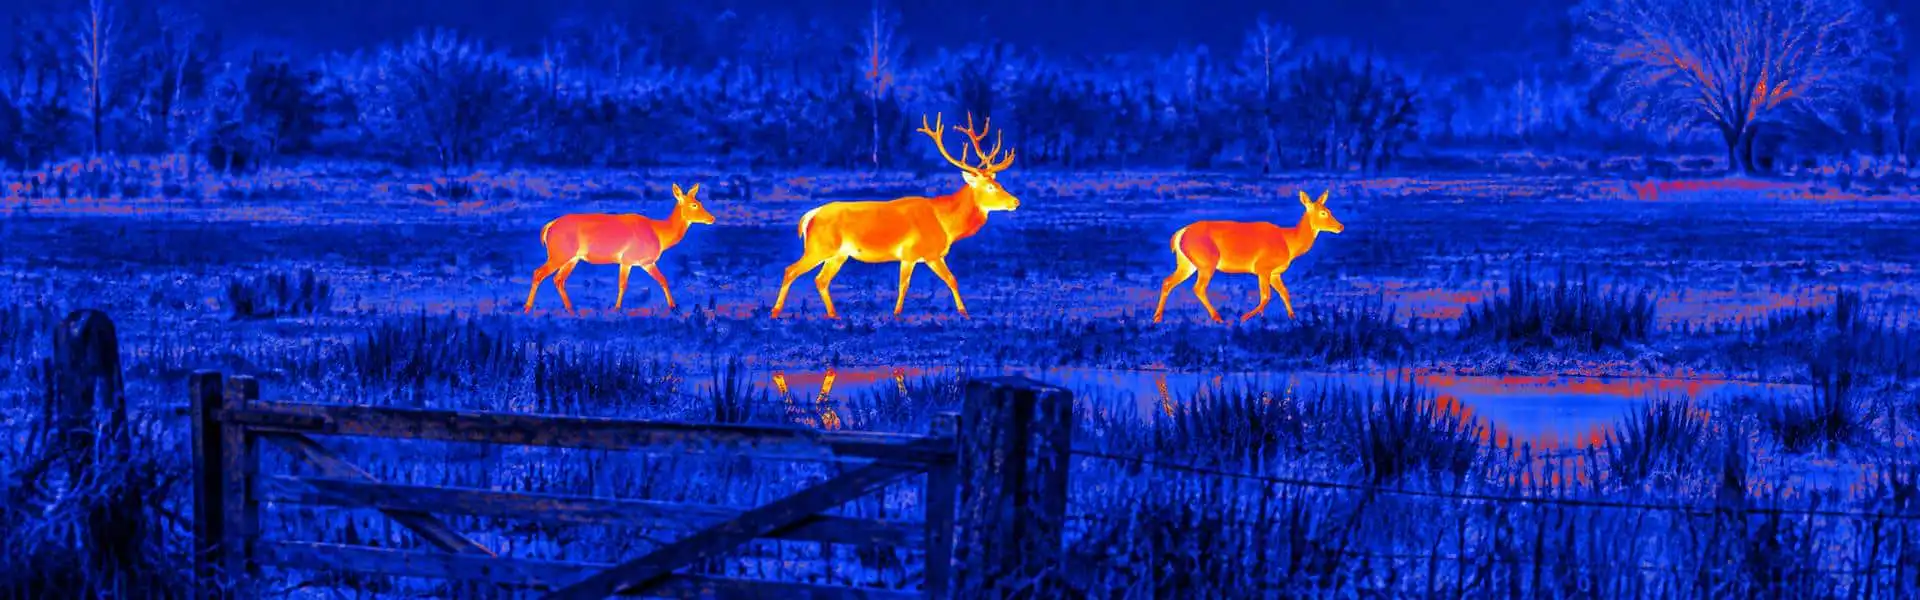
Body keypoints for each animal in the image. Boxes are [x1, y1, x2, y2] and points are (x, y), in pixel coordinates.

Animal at [524, 183, 716, 314]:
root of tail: (549, 226)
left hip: (572, 259)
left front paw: (674, 306)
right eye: (694, 205)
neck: (659, 233)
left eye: (699, 201)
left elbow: (662, 280)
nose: (712, 218)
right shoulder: (629, 260)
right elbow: (623, 284)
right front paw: (617, 309)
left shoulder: (645, 263)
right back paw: (527, 308)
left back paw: (571, 309)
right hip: (559, 255)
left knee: (558, 279)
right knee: (538, 273)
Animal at [770, 112, 1020, 319]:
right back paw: (775, 312)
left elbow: (948, 280)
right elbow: (912, 284)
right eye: (991, 187)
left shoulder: (928, 255)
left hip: (838, 254)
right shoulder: (914, 253)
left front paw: (962, 312)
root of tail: (810, 215)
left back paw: (834, 315)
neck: (945, 224)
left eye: (999, 183)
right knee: (791, 270)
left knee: (821, 280)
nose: (1015, 202)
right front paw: (899, 314)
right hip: (819, 248)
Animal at [1153, 190, 1345, 323]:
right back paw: (1218, 317)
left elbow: (1284, 293)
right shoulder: (1262, 268)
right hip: (1207, 262)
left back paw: (1157, 318)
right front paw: (1246, 317)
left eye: (1328, 209)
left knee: (1168, 281)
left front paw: (1292, 317)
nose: (1340, 226)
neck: (1289, 242)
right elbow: (1266, 296)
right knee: (1198, 288)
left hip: (1187, 263)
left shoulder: (1275, 273)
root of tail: (1179, 233)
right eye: (1323, 213)